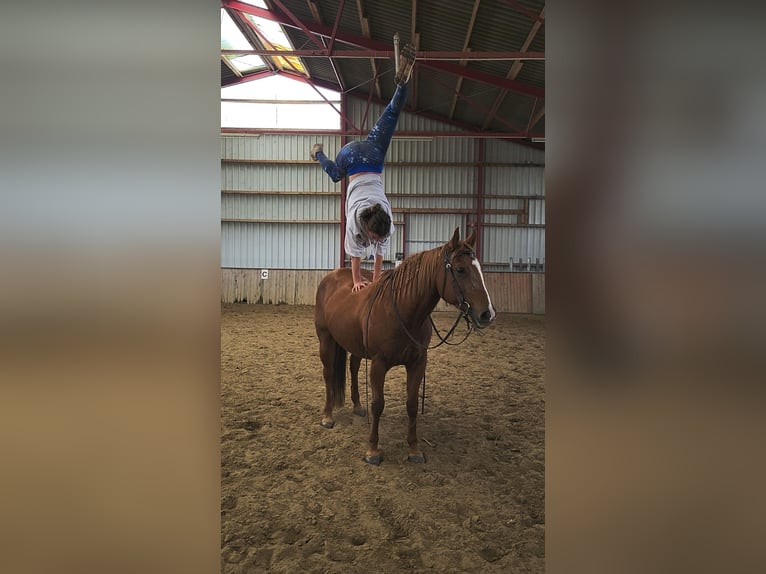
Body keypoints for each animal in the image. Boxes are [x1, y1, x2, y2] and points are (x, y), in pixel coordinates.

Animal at [314, 227, 496, 464]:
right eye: (460, 269)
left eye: (479, 268)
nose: (487, 314)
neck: (401, 309)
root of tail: (331, 277)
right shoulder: (379, 365)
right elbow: (378, 404)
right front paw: (372, 450)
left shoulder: (418, 363)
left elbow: (412, 404)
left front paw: (414, 450)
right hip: (326, 340)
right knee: (328, 374)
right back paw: (327, 416)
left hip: (354, 345)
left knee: (353, 368)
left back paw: (358, 406)